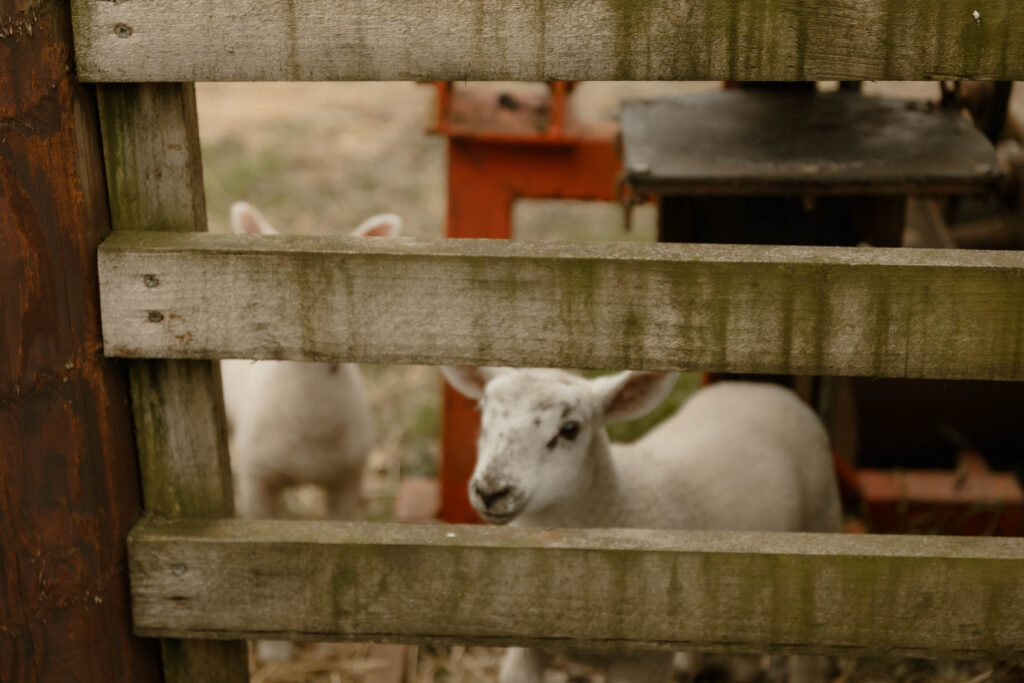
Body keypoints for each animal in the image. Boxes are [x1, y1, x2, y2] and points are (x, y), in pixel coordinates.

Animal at [440, 368, 839, 683]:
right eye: (483, 415)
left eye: (569, 429)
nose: (491, 490)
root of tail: (763, 387)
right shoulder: (524, 645)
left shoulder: (641, 658)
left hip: (821, 525)